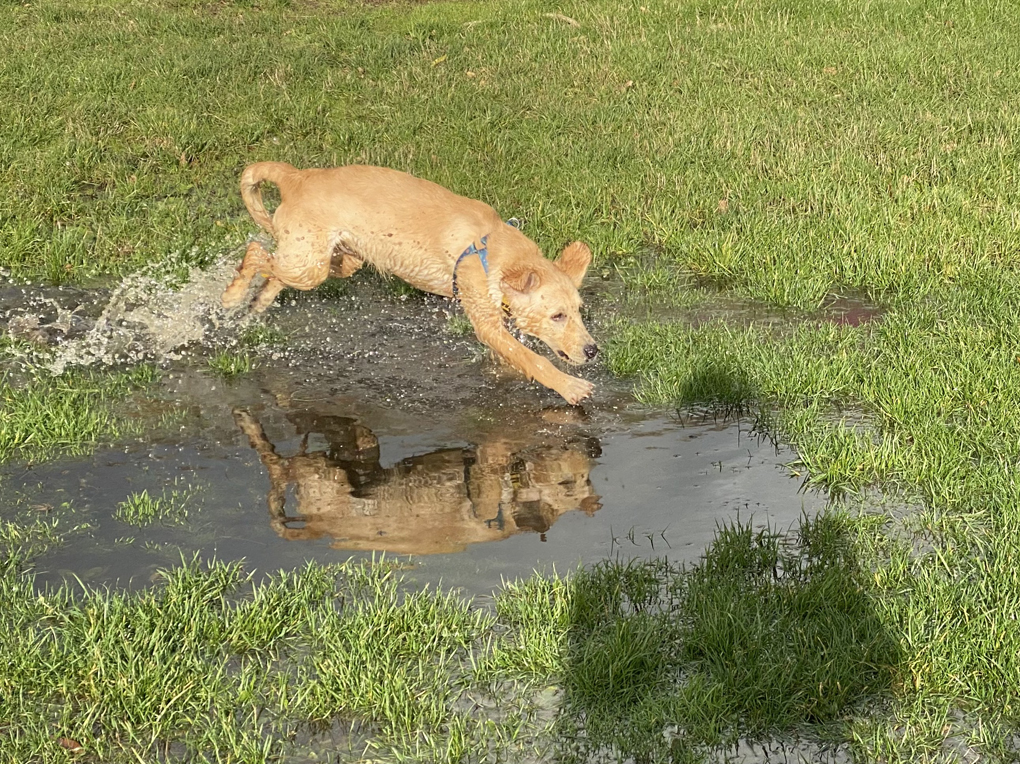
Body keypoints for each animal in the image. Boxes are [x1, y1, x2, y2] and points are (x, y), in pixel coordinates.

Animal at [219, 163, 595, 401]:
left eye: (580, 311)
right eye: (557, 316)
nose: (593, 350)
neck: (493, 250)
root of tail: (297, 176)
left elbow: (517, 356)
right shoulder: (485, 321)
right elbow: (535, 358)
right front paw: (570, 387)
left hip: (336, 260)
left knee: (274, 272)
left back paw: (257, 302)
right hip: (309, 267)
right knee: (256, 252)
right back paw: (233, 295)